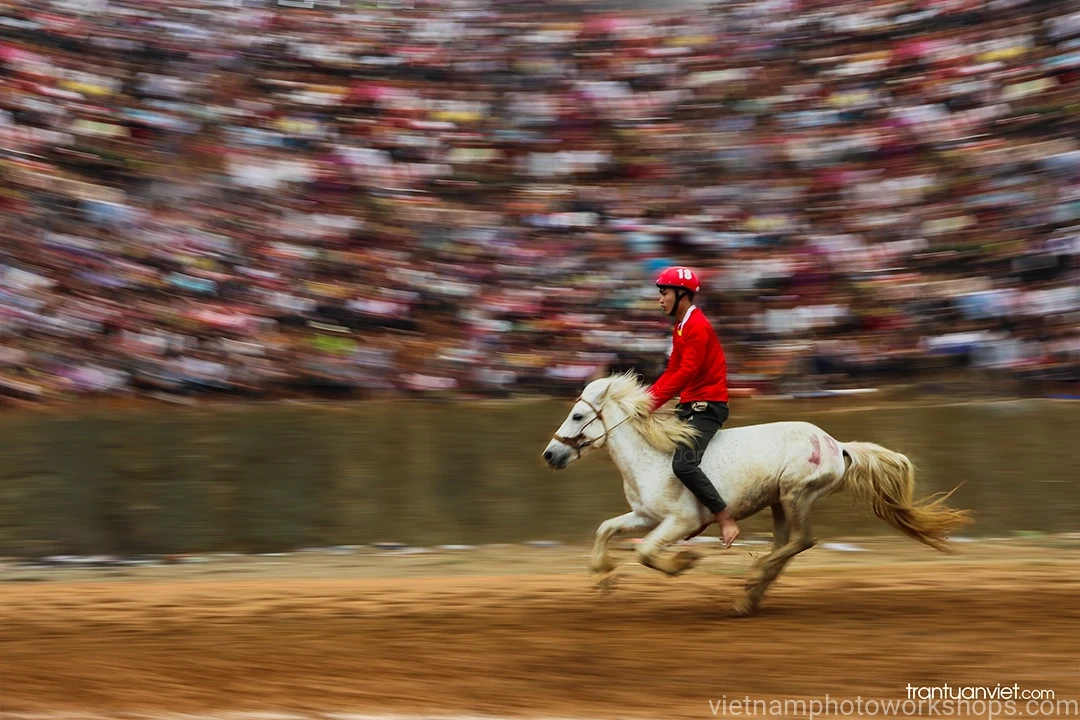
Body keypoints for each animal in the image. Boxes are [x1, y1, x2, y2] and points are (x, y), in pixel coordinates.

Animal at [541, 372, 974, 616]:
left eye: (578, 415)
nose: (550, 454)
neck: (652, 455)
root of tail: (837, 446)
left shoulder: (681, 522)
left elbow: (646, 553)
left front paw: (684, 561)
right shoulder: (646, 516)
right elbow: (605, 529)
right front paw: (602, 578)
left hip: (796, 494)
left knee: (802, 541)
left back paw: (750, 580)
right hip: (780, 500)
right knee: (787, 545)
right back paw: (747, 598)